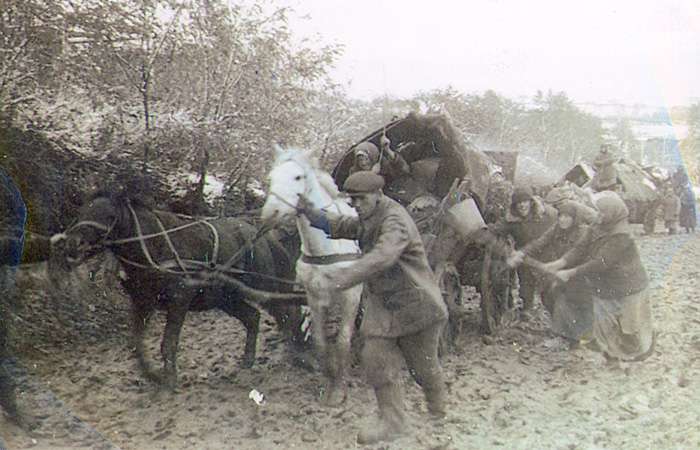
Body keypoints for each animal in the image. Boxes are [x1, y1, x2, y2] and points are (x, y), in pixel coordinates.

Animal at [53, 193, 304, 386]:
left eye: (109, 216)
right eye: (82, 213)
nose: (73, 244)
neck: (154, 248)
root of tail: (256, 233)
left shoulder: (179, 299)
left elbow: (168, 343)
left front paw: (169, 379)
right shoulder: (142, 303)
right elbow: (137, 345)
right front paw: (153, 375)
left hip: (263, 287)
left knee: (287, 314)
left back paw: (299, 353)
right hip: (226, 297)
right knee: (253, 317)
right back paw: (249, 360)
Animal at [262, 145, 364, 404]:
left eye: (298, 177)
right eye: (271, 178)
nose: (269, 213)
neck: (327, 248)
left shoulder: (350, 295)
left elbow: (343, 341)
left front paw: (340, 388)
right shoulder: (315, 298)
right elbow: (320, 342)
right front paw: (329, 379)